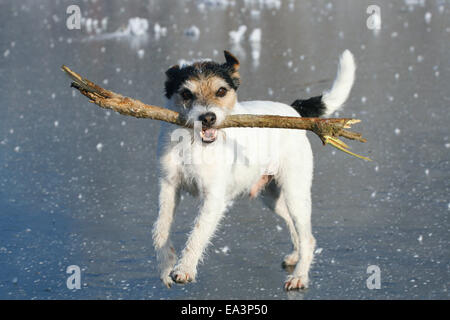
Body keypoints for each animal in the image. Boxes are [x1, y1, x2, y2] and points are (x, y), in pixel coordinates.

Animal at [153, 50, 356, 290]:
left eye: (221, 91)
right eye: (186, 93)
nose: (208, 118)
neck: (192, 143)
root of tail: (294, 112)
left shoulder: (214, 198)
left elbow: (198, 233)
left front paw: (185, 269)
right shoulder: (169, 187)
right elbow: (161, 228)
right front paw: (166, 266)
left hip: (295, 193)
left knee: (307, 237)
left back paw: (299, 276)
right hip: (272, 197)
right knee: (296, 228)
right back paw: (295, 258)